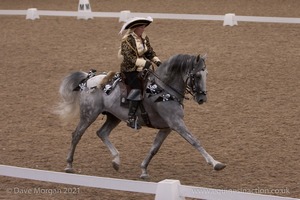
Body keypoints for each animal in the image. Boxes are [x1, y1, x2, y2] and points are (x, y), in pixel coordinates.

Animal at [55, 53, 225, 178]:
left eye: (206, 73)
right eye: (197, 76)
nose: (202, 99)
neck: (163, 90)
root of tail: (88, 79)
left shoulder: (167, 128)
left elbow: (154, 148)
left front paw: (143, 170)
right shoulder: (176, 123)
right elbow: (195, 141)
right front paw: (216, 163)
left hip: (113, 117)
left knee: (101, 133)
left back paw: (116, 161)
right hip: (89, 115)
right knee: (76, 135)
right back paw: (69, 165)